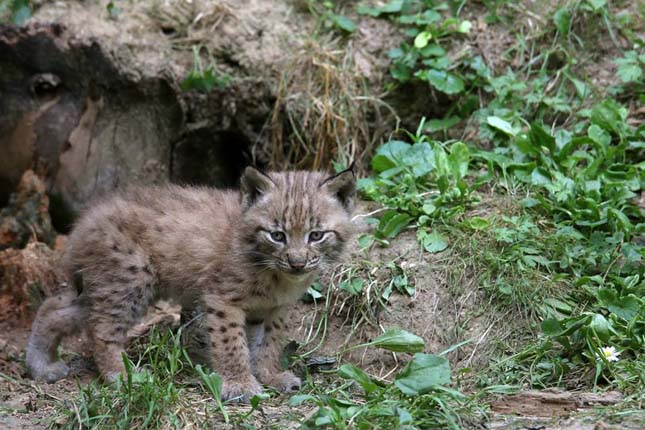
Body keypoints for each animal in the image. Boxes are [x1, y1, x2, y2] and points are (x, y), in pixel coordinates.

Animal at [26, 167, 358, 400]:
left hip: (107, 285)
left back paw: (41, 365)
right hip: (131, 280)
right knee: (102, 330)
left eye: (316, 235)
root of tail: (84, 223)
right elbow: (231, 343)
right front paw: (239, 384)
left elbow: (269, 343)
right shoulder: (222, 298)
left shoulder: (272, 308)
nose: (297, 262)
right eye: (277, 235)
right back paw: (122, 377)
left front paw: (269, 375)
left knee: (55, 306)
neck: (275, 273)